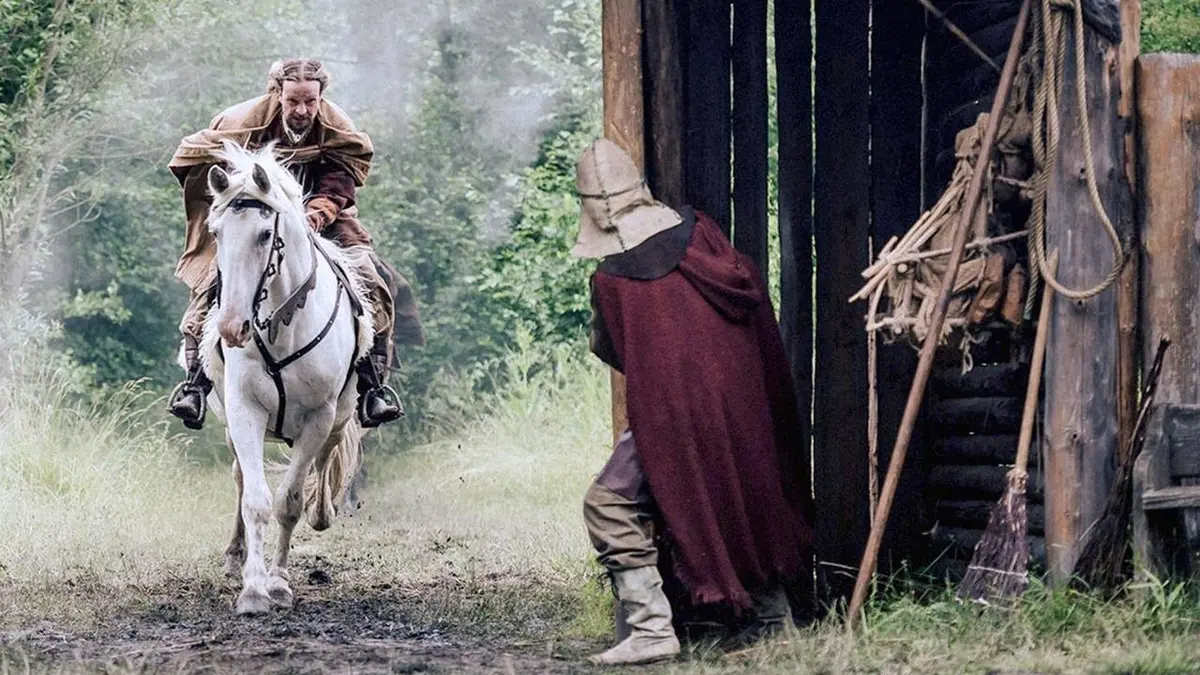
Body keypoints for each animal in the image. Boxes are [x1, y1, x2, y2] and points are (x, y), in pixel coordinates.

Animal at [192, 141, 372, 614]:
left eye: (263, 235)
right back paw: (234, 558)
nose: (232, 328)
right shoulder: (245, 411)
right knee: (240, 478)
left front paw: (278, 582)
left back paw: (322, 511)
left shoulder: (318, 417)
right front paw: (253, 589)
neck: (282, 324)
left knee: (327, 460)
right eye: (216, 233)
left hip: (340, 416)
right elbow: (256, 500)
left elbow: (289, 502)